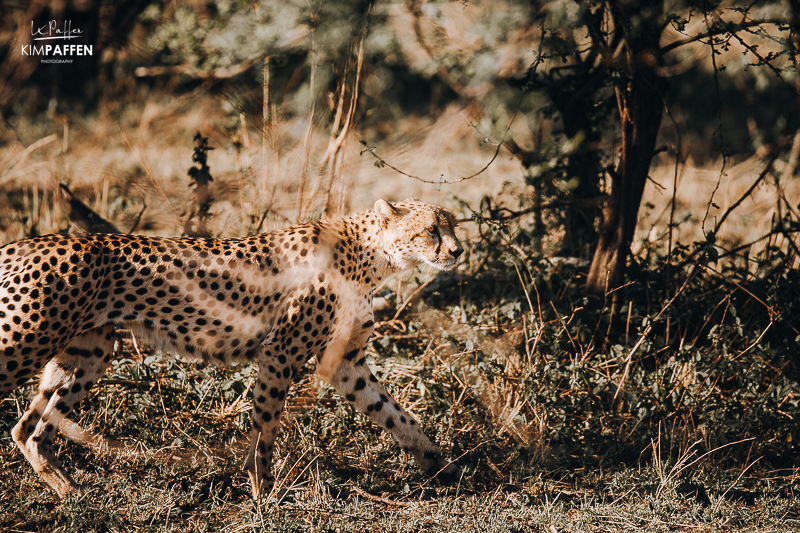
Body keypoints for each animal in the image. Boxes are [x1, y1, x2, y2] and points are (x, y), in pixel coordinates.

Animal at [0, 197, 462, 496]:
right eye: (431, 230)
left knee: (29, 427)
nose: (457, 251)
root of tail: (31, 241)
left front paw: (438, 463)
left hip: (88, 353)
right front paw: (265, 492)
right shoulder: (280, 352)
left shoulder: (345, 363)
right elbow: (266, 426)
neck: (372, 256)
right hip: (25, 338)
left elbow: (395, 413)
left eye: (454, 224)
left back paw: (69, 491)